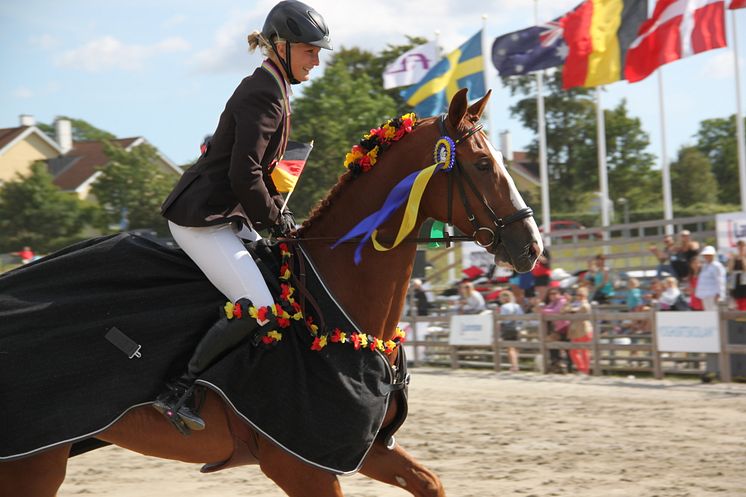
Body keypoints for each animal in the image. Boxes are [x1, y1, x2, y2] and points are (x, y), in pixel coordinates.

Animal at [0, 87, 536, 494]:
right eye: (482, 165)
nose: (531, 247)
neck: (336, 309)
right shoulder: (300, 464)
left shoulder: (361, 451)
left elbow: (429, 482)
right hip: (35, 461)